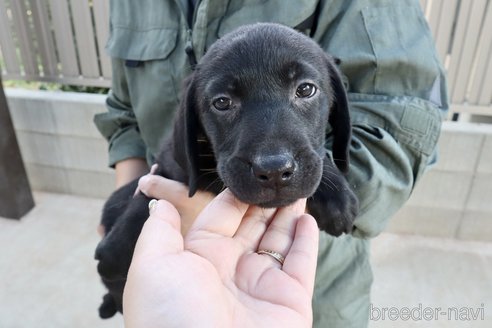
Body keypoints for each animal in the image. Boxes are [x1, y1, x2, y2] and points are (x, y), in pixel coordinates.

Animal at [95, 23, 358, 320]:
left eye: (305, 89)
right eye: (222, 103)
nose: (274, 169)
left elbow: (319, 156)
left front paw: (337, 197)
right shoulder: (166, 165)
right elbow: (143, 201)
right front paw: (113, 252)